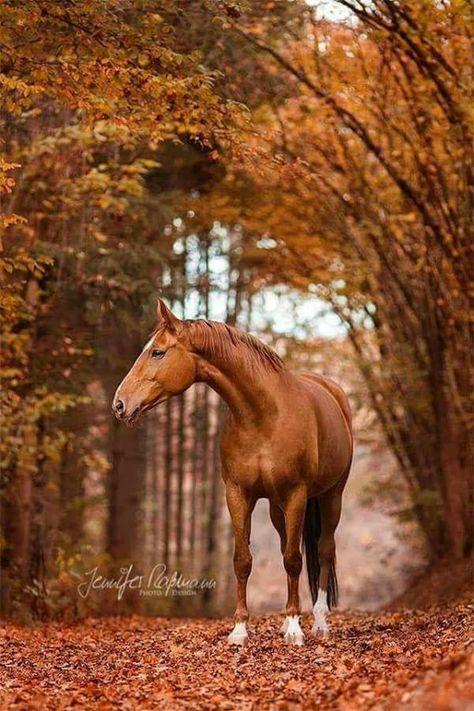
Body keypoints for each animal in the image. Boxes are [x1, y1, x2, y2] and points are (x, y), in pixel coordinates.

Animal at [112, 298, 352, 648]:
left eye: (157, 352)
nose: (119, 404)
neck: (263, 415)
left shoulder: (296, 493)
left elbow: (295, 560)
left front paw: (295, 629)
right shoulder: (238, 494)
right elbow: (244, 560)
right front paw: (240, 630)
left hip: (330, 496)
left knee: (324, 551)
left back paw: (319, 622)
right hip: (278, 508)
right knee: (289, 547)